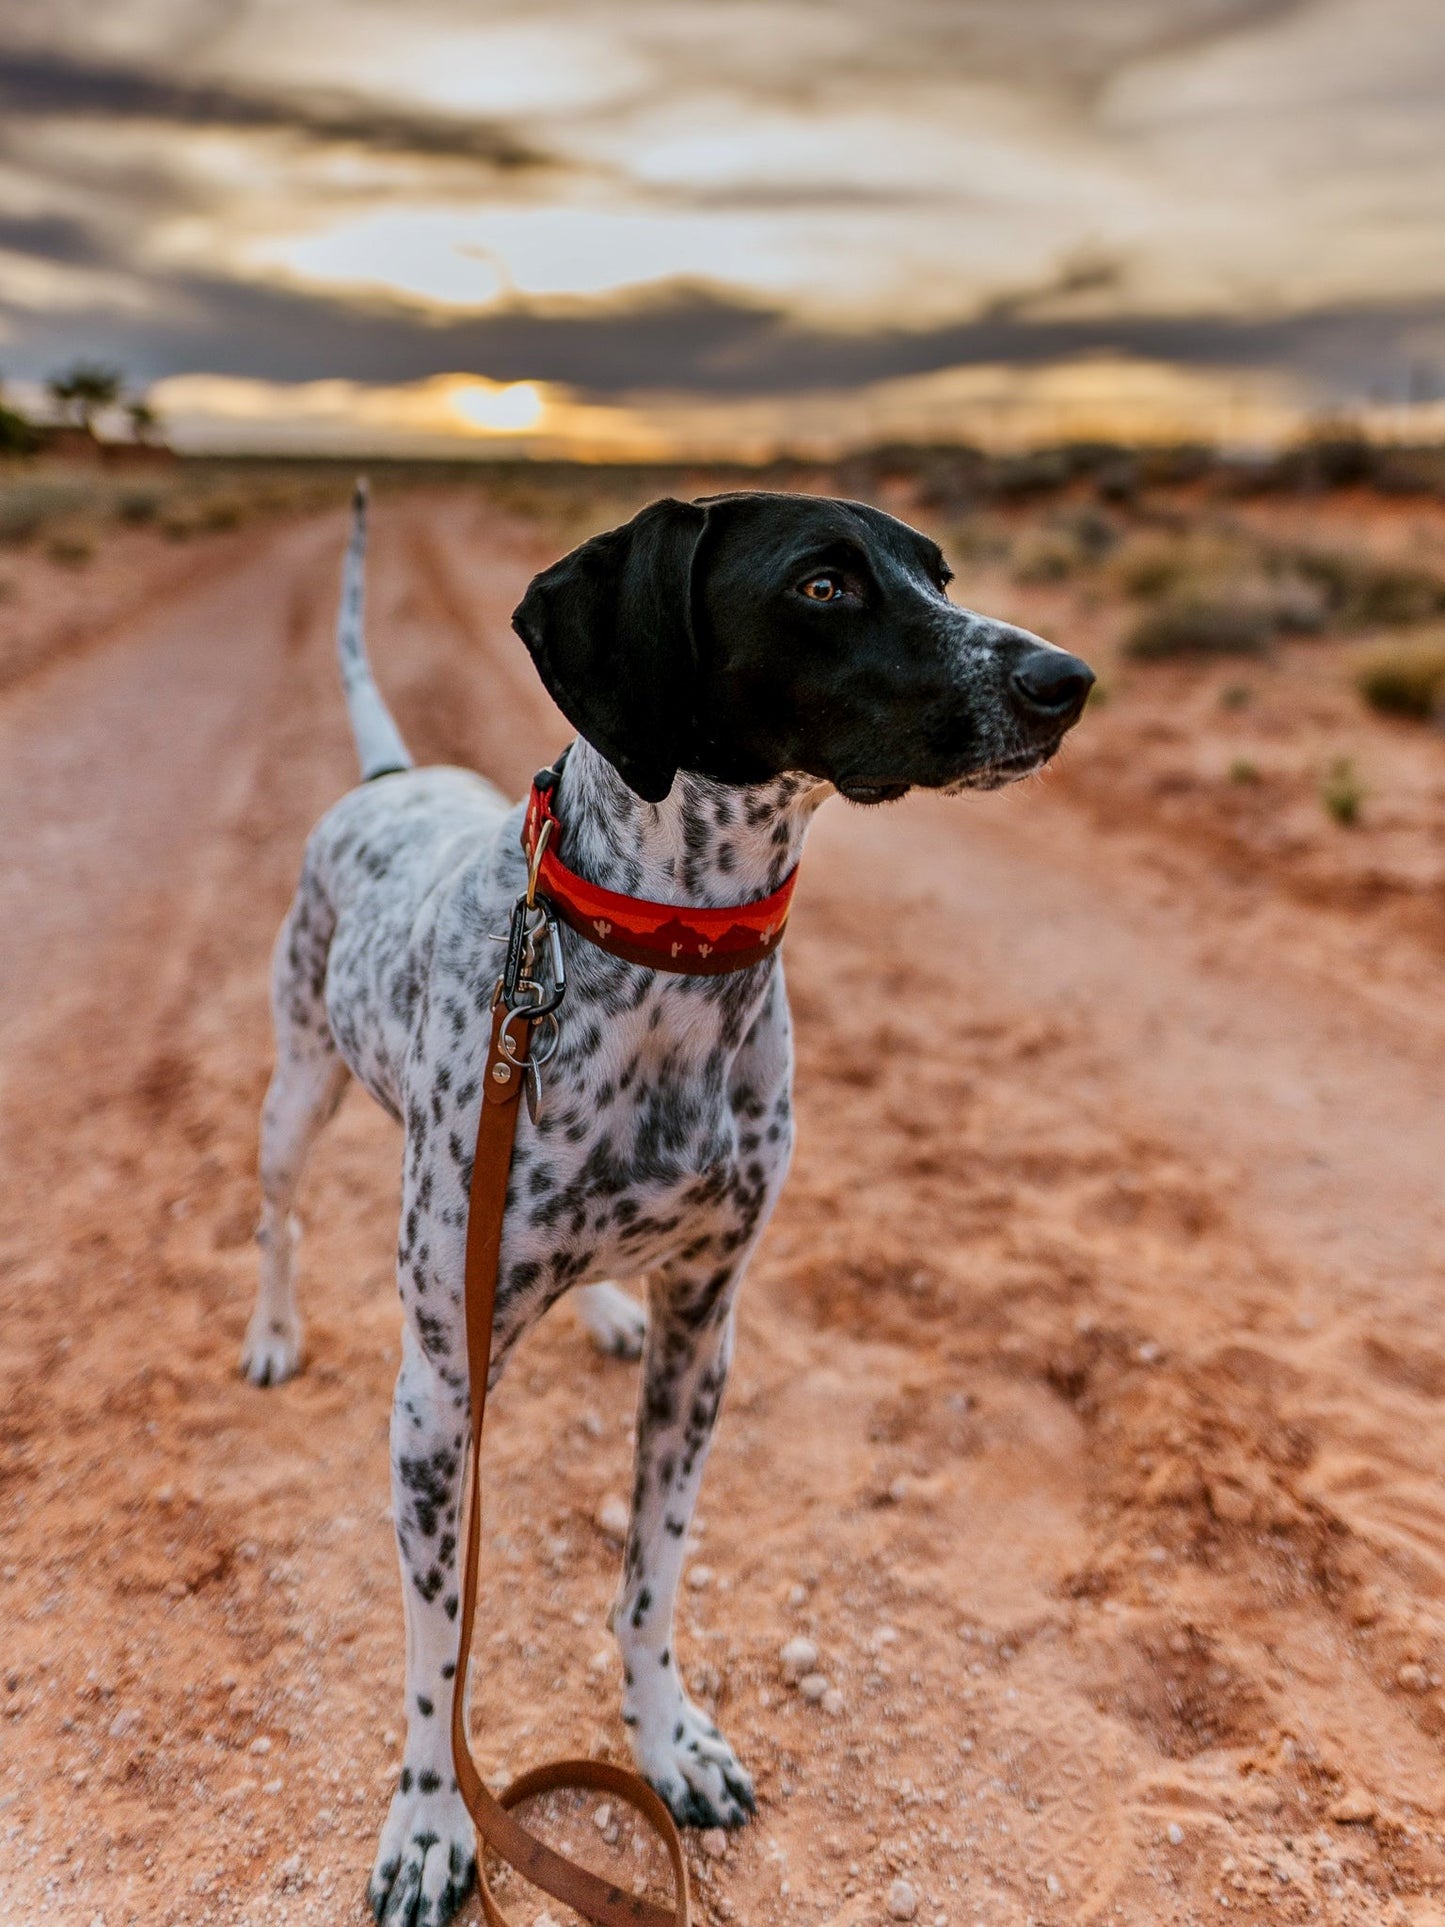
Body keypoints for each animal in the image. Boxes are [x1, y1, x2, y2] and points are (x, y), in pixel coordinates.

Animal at [243, 485, 1094, 1927]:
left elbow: (649, 1580)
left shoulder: (708, 1326)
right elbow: (439, 1650)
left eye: (936, 573)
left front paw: (666, 1741)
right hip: (299, 1084)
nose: (1064, 679)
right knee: (278, 1215)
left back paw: (596, 1314)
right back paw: (271, 1332)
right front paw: (429, 1823)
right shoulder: (433, 1397)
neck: (669, 960)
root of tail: (389, 778)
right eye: (822, 583)